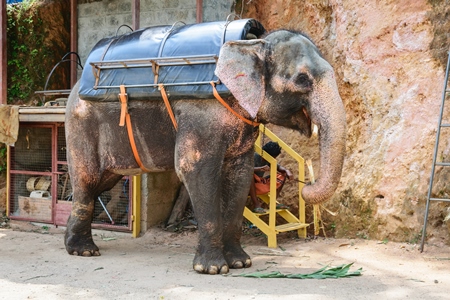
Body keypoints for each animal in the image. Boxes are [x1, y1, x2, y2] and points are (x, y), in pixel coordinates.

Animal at [63, 27, 346, 274]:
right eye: (302, 79)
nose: (306, 187)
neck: (251, 44)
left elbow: (241, 175)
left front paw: (241, 264)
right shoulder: (200, 113)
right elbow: (196, 170)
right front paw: (212, 269)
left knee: (101, 181)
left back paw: (72, 241)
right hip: (81, 124)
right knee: (87, 179)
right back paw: (84, 251)